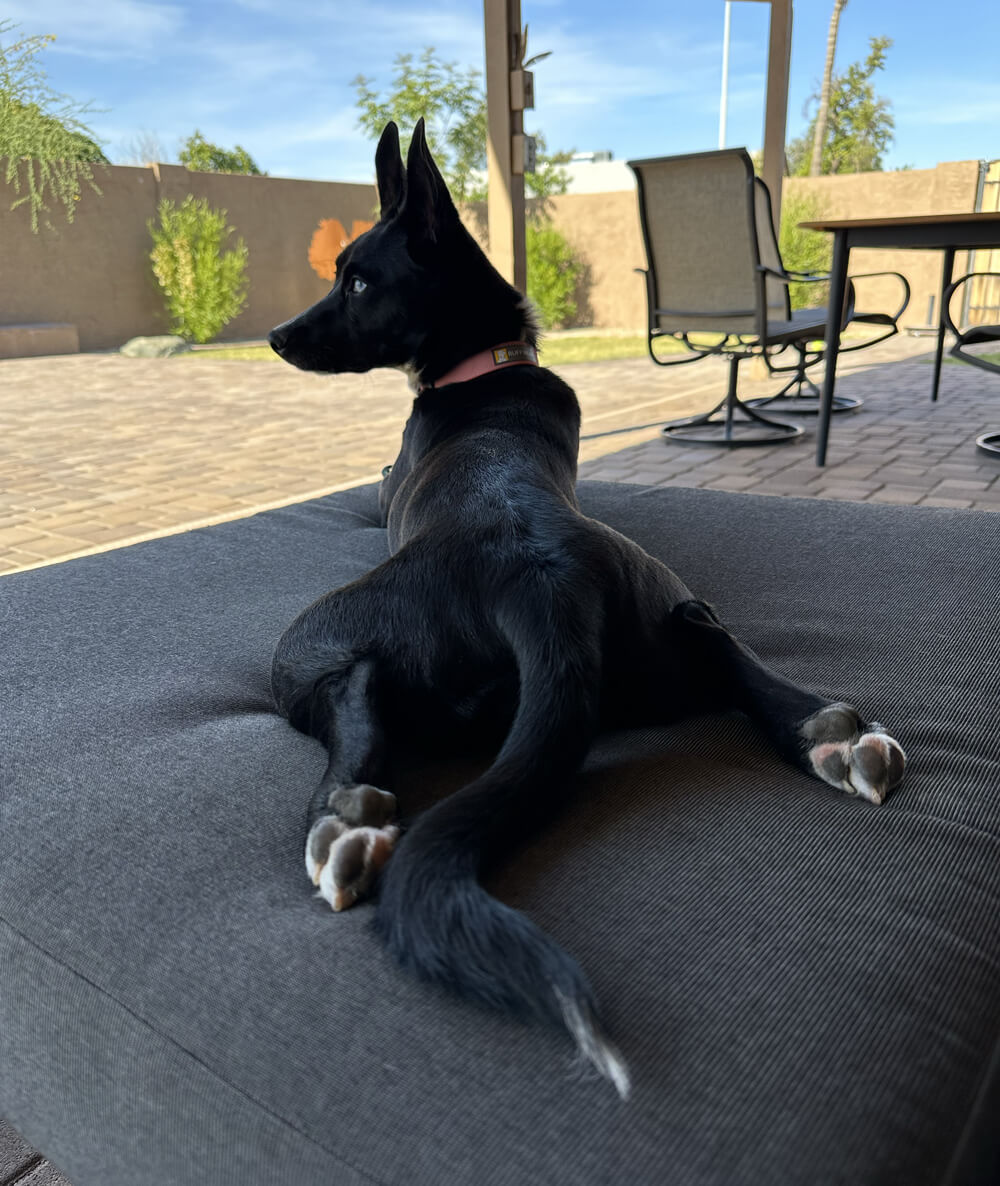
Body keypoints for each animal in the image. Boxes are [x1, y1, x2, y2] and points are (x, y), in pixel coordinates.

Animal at [268, 120, 906, 1091]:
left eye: (359, 281)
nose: (273, 336)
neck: (484, 365)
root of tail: (540, 584)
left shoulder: (381, 493)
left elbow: (374, 484)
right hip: (664, 605)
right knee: (723, 647)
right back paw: (830, 735)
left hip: (307, 639)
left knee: (354, 698)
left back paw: (346, 819)